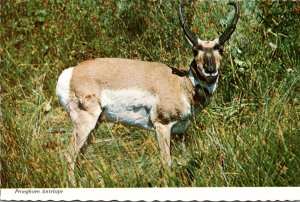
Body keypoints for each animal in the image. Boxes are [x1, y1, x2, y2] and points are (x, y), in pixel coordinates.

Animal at [55, 1, 239, 186]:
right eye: (195, 50)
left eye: (221, 50)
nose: (210, 70)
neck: (180, 84)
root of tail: (70, 72)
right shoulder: (162, 126)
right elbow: (166, 161)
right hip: (85, 123)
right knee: (69, 156)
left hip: (95, 125)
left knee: (79, 157)